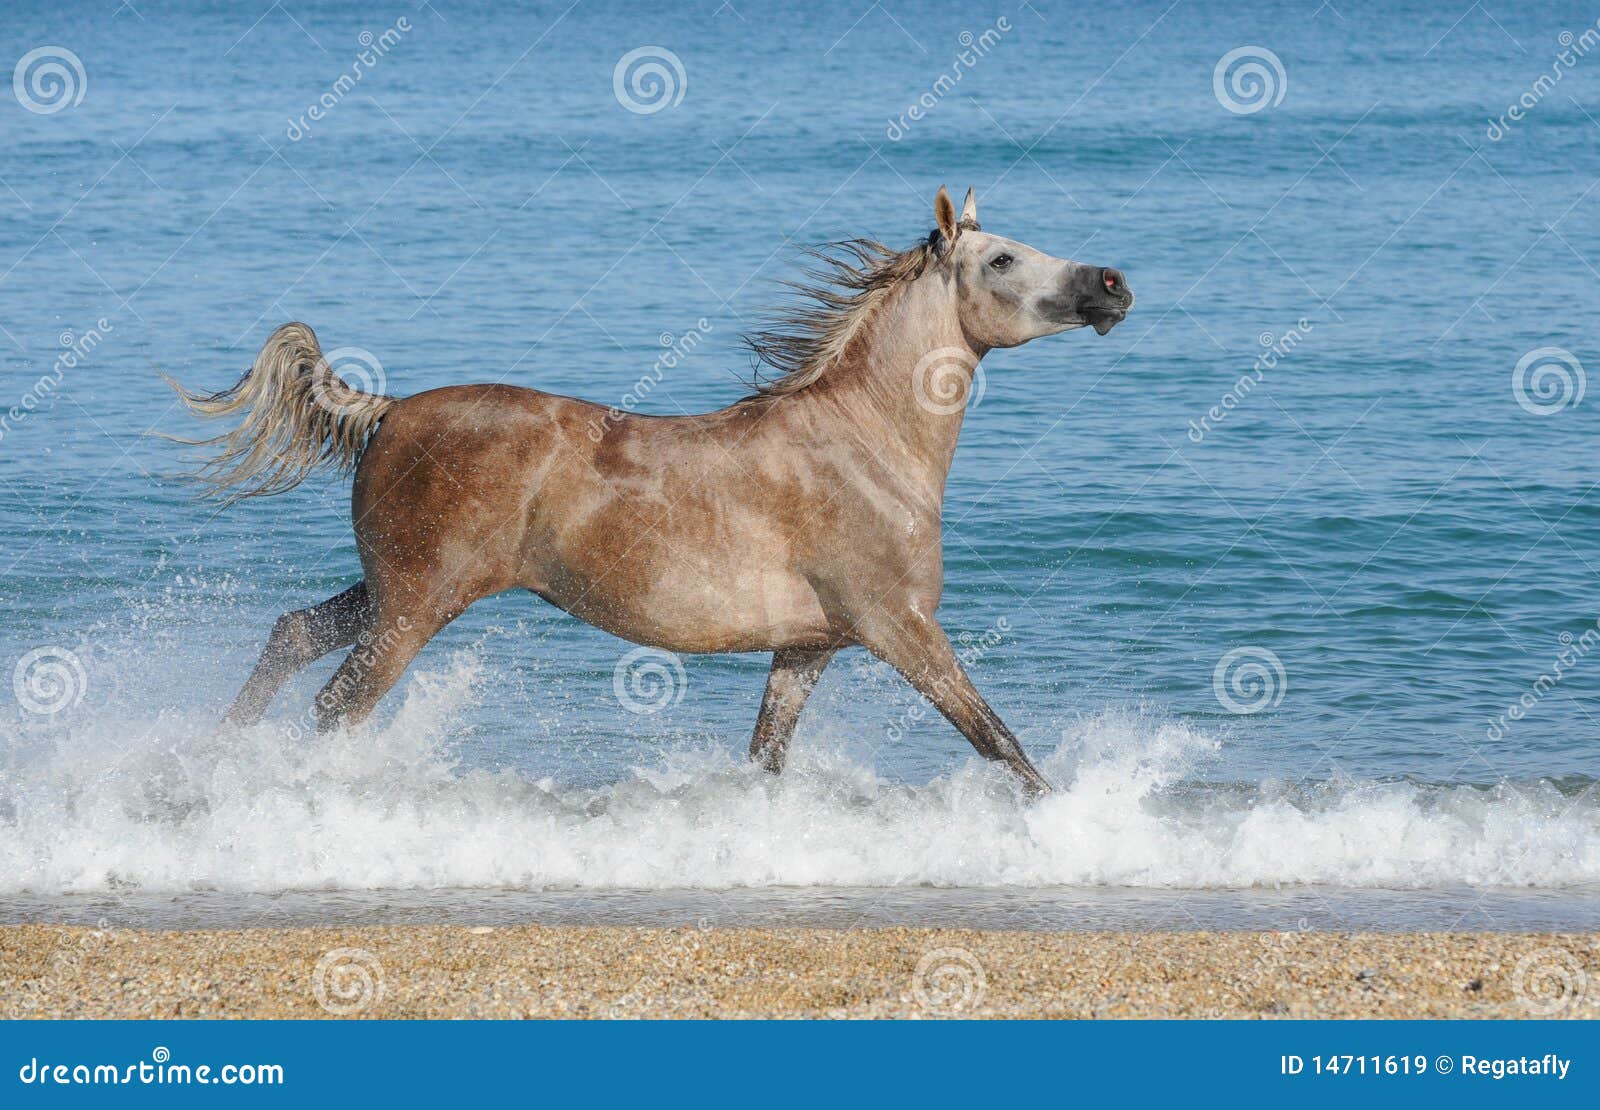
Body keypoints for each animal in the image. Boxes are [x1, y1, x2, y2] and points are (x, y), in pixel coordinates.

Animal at [172, 191, 1126, 799]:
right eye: (1002, 258)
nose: (1112, 284)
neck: (862, 442)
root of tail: (390, 409)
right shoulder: (900, 628)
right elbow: (998, 741)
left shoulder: (808, 647)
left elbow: (766, 759)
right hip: (417, 602)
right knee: (337, 704)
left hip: (389, 590)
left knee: (293, 635)